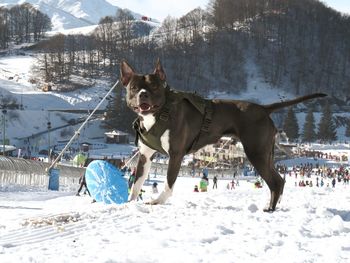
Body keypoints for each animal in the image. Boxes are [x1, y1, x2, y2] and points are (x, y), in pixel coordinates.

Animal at [119, 59, 326, 212]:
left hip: (256, 152)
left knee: (274, 181)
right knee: (279, 180)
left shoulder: (176, 155)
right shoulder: (145, 156)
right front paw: (129, 202)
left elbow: (169, 183)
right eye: (134, 88)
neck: (160, 113)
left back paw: (270, 209)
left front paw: (158, 201)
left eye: (154, 86)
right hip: (265, 154)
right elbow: (137, 183)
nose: (143, 94)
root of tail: (263, 108)